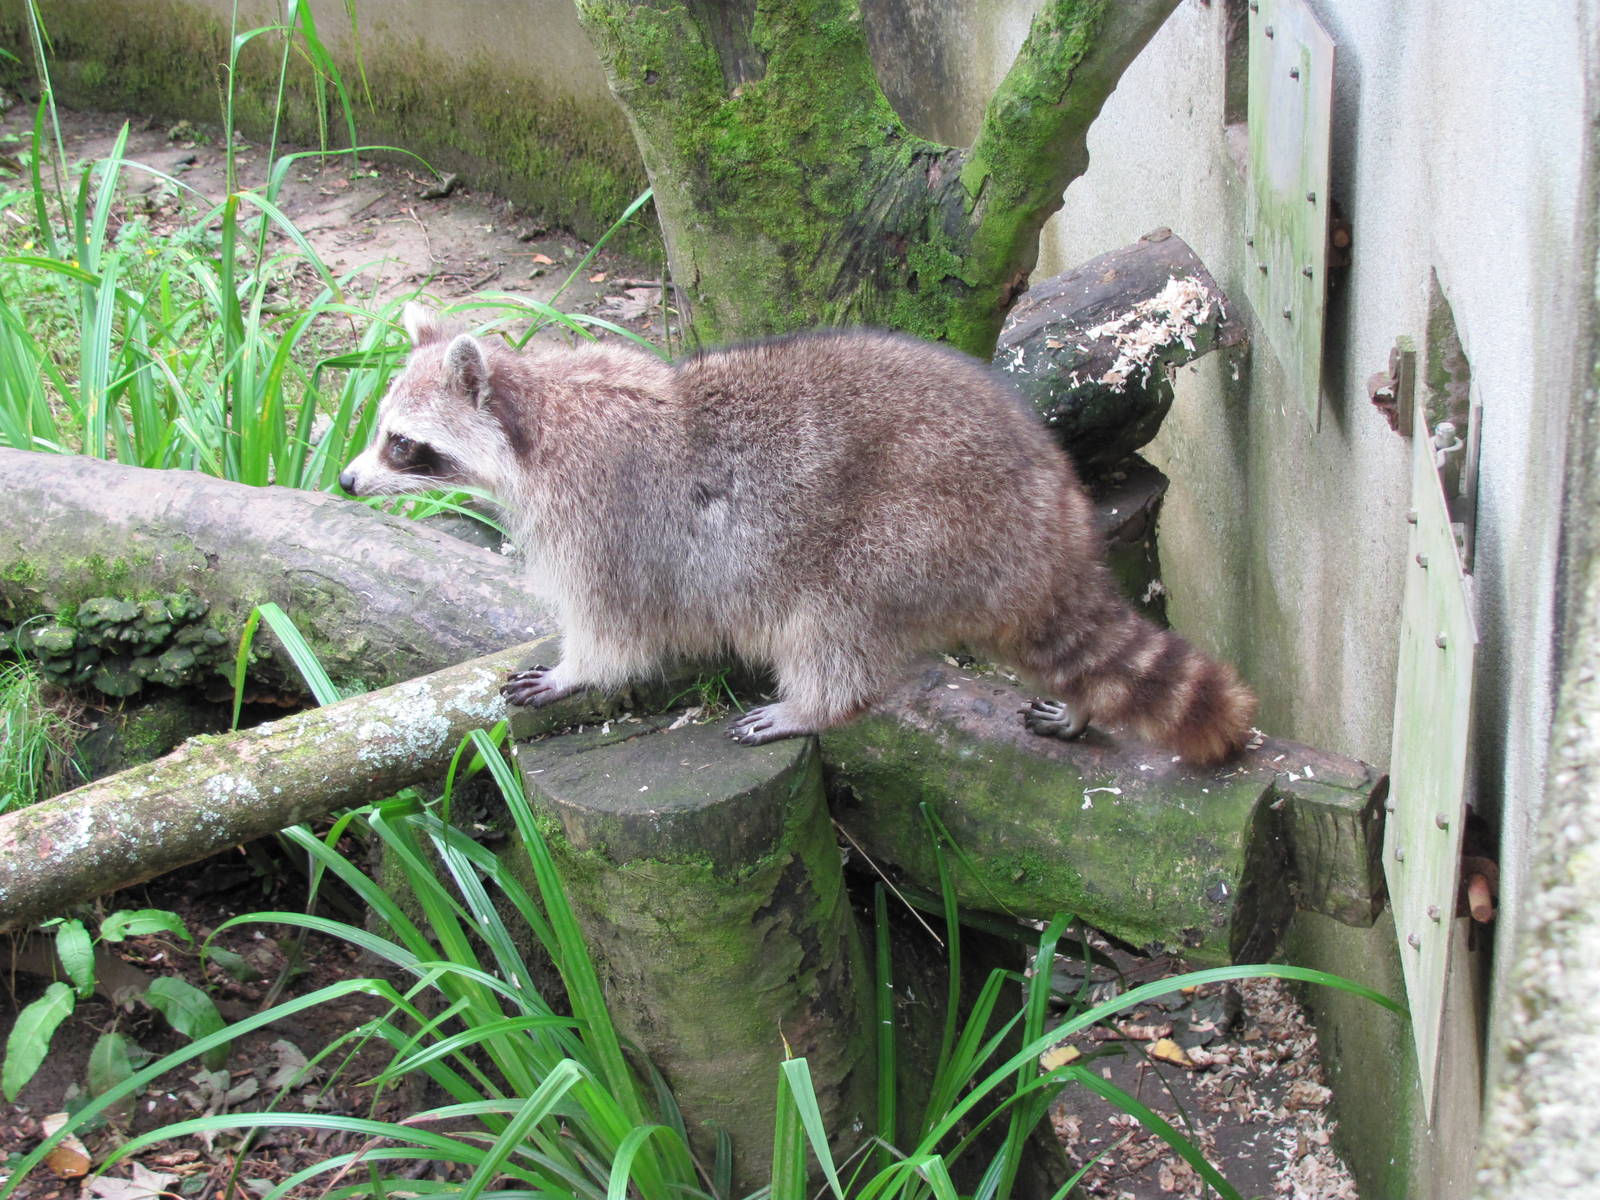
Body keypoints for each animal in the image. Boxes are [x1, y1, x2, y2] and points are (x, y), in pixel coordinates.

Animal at [339, 304, 1256, 764]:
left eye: (401, 444)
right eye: (381, 432)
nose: (346, 481)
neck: (535, 412)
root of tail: (1051, 510)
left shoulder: (601, 517)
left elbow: (617, 626)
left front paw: (576, 671)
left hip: (916, 531)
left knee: (833, 624)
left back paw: (815, 704)